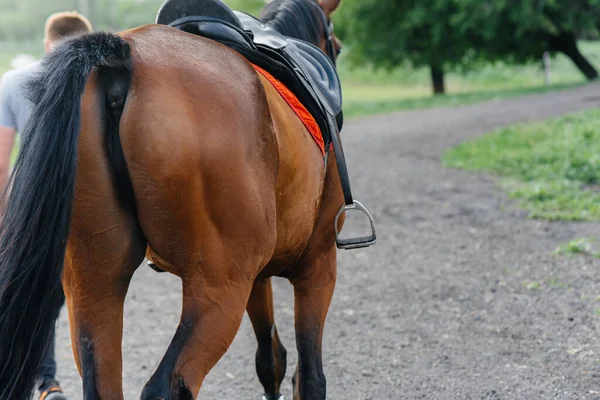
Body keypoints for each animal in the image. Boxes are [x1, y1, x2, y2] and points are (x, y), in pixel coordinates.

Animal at [0, 0, 346, 400]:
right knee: (168, 384)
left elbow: (270, 359)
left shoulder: (259, 276)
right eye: (337, 46)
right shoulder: (318, 263)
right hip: (218, 290)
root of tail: (124, 58)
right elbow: (310, 377)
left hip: (95, 282)